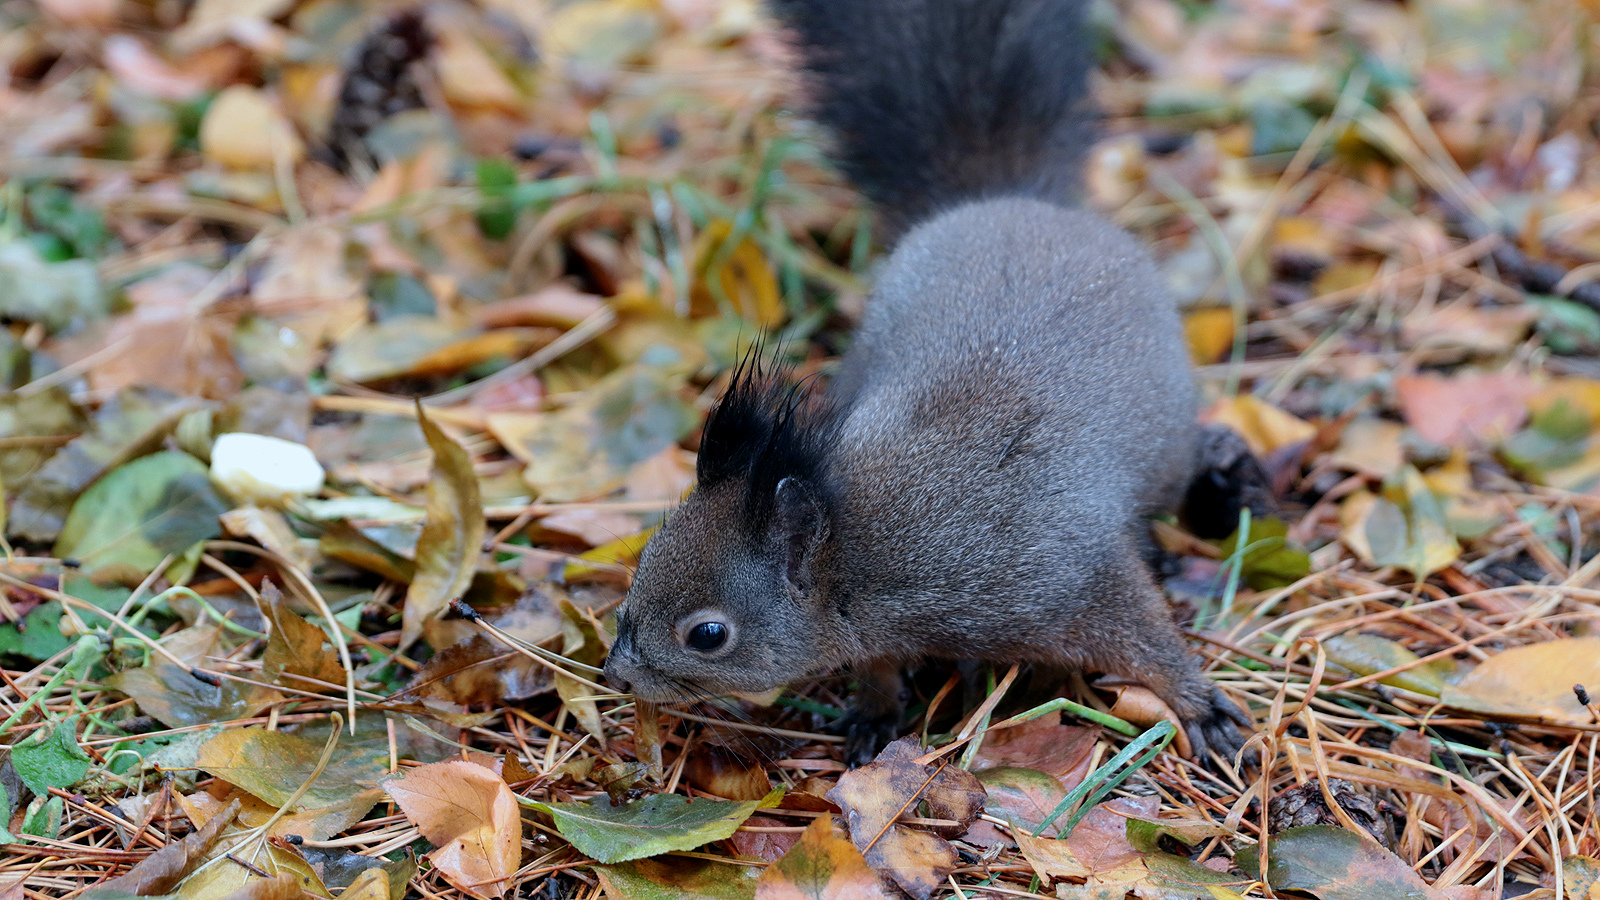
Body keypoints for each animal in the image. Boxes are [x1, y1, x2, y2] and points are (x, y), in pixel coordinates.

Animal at [601, 0, 1260, 759]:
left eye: (707, 634)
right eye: (646, 558)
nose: (617, 673)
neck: (861, 555)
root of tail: (1008, 200)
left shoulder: (1064, 574)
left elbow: (1142, 633)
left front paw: (1198, 700)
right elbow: (879, 664)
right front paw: (875, 711)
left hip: (1167, 451)